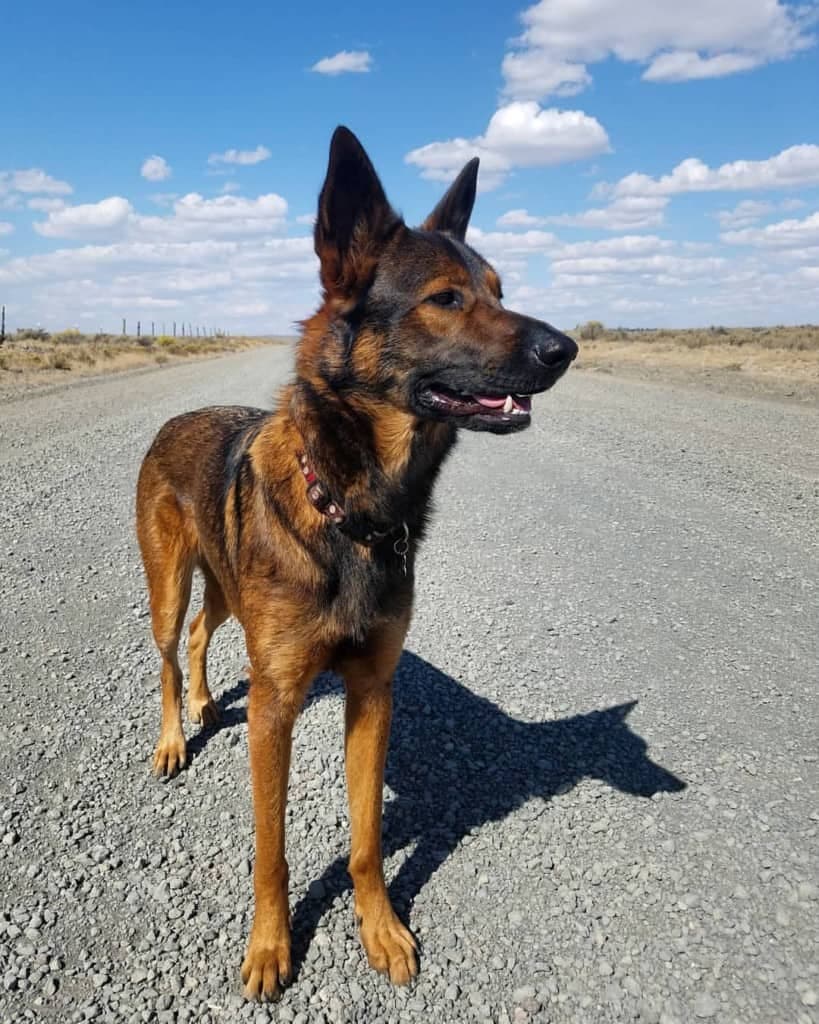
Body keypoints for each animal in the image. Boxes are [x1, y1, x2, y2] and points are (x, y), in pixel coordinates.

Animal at [136, 128, 577, 999]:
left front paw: (379, 928)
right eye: (446, 299)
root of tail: (175, 417)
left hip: (226, 589)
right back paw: (174, 735)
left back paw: (203, 702)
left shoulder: (372, 693)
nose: (567, 348)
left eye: (500, 290)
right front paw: (269, 946)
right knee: (169, 651)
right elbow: (270, 853)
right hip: (168, 584)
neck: (352, 504)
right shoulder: (274, 708)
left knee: (202, 635)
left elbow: (368, 839)